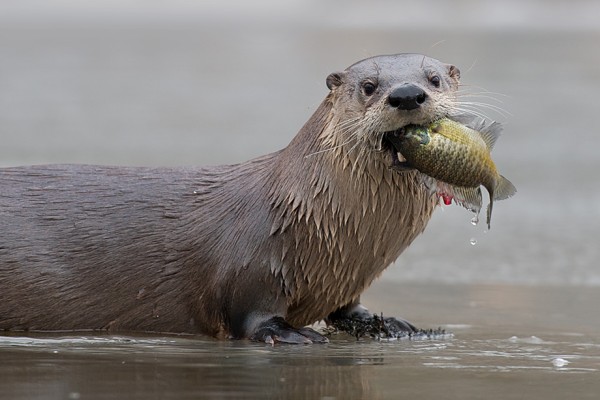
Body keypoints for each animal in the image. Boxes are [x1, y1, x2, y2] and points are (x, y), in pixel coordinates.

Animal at [0, 53, 460, 344]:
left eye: (435, 78)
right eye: (368, 86)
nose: (406, 94)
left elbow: (347, 310)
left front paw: (391, 325)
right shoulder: (251, 266)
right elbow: (253, 316)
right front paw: (292, 334)